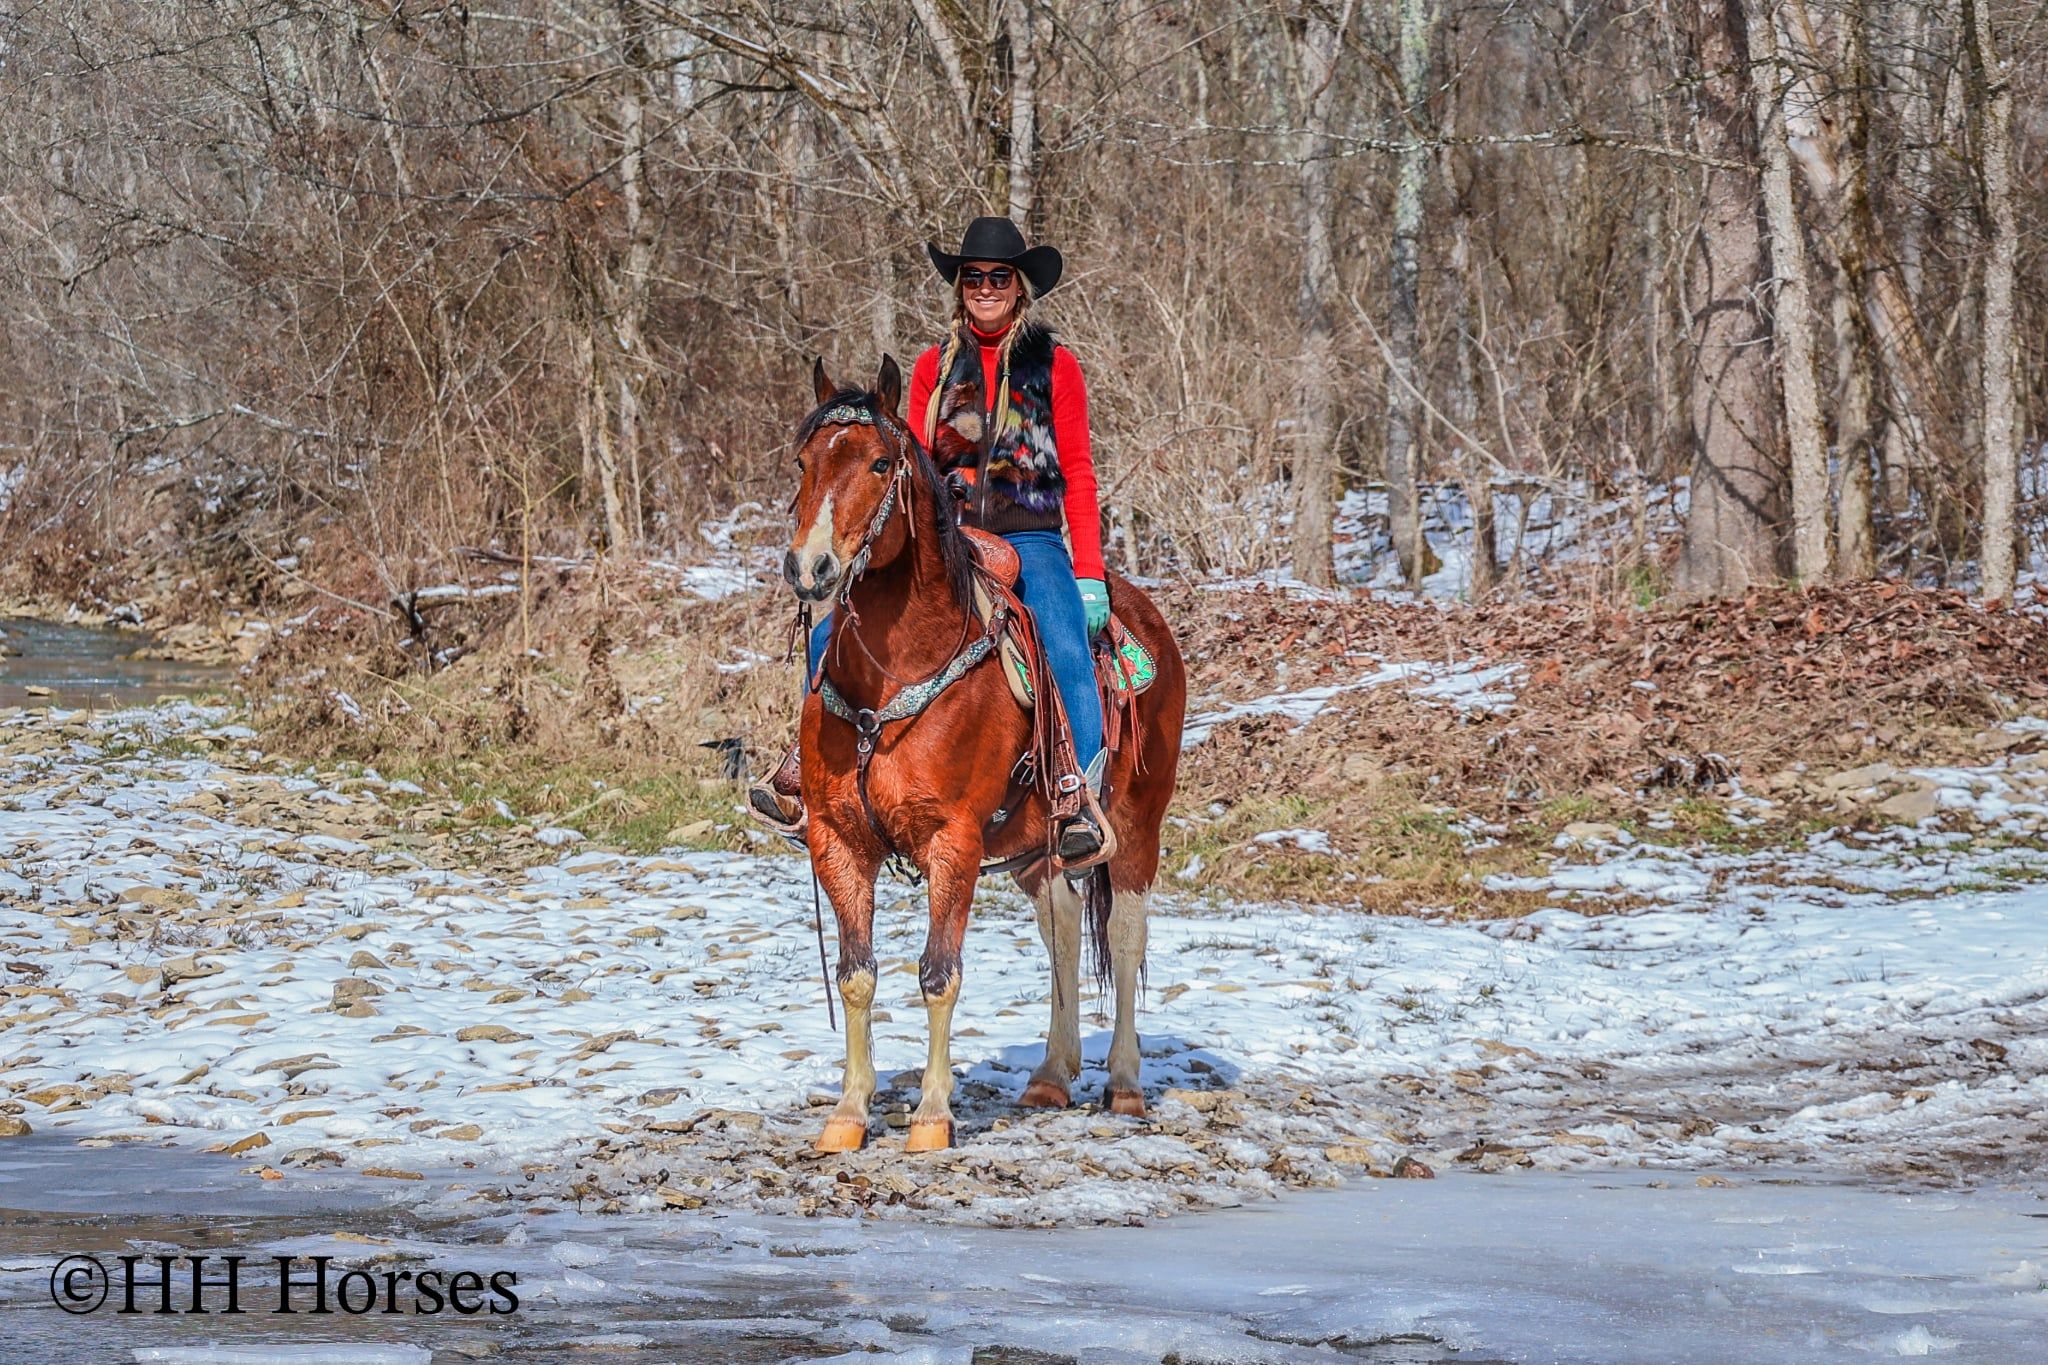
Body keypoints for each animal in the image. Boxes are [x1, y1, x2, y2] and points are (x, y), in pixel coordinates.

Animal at [781, 353, 1186, 1153]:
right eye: (805, 462)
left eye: (879, 463)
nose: (810, 568)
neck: (894, 675)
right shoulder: (836, 839)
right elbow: (856, 974)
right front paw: (848, 1112)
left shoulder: (954, 842)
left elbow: (939, 972)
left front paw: (933, 1116)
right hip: (1041, 848)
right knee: (1062, 929)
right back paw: (1051, 1076)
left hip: (1137, 825)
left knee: (1124, 938)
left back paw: (1124, 1085)